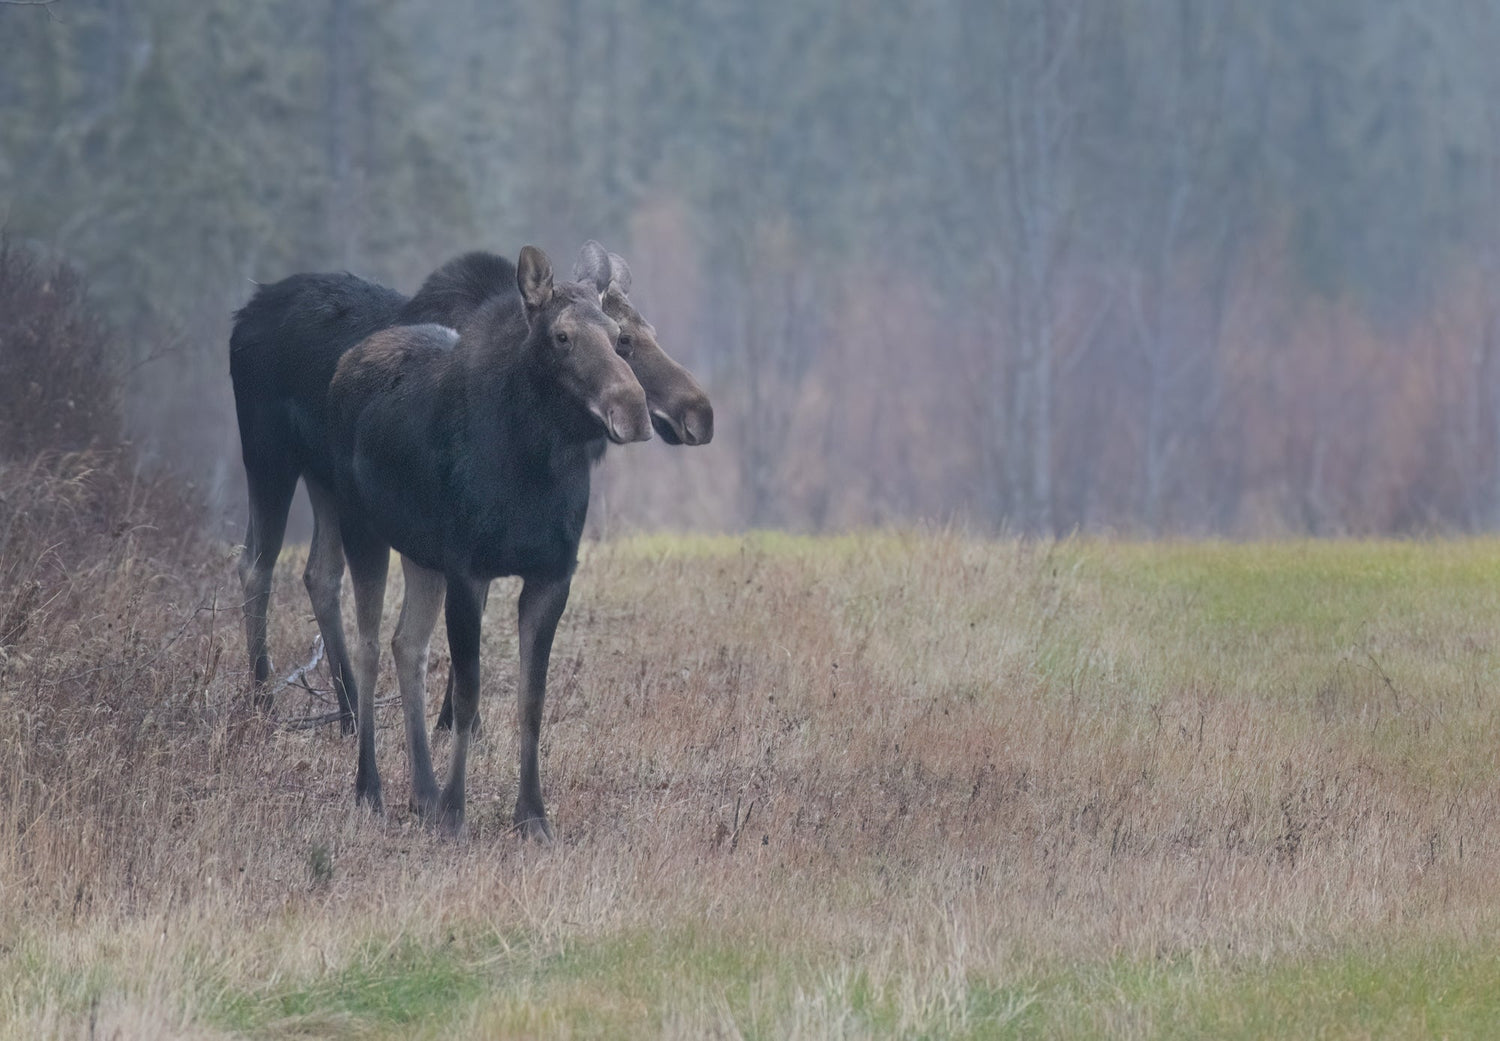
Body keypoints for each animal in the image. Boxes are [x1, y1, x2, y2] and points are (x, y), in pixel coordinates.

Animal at [228, 243, 708, 735]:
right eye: (626, 340)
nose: (699, 413)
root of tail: (243, 315)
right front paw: (459, 723)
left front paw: (454, 721)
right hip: (267, 455)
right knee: (255, 565)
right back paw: (264, 703)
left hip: (325, 481)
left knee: (320, 574)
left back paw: (348, 714)